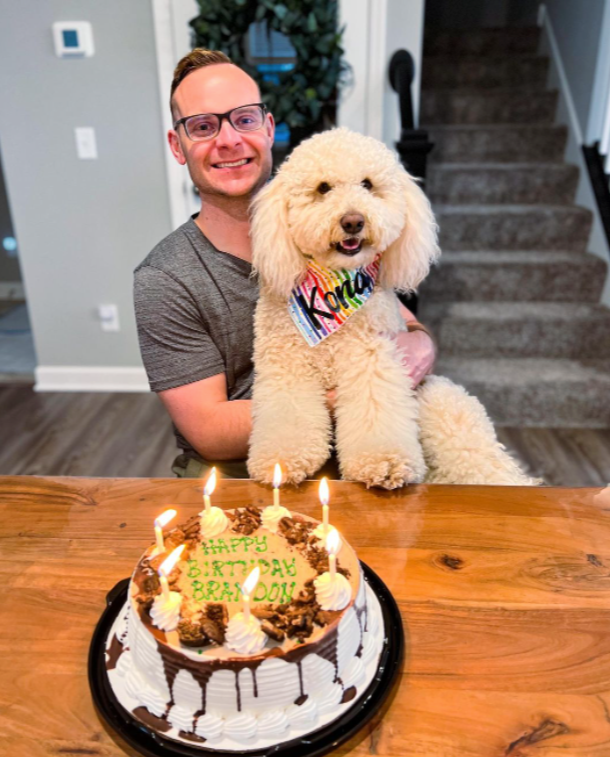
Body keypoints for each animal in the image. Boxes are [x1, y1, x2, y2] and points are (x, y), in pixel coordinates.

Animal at [247, 127, 536, 489]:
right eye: (323, 188)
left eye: (368, 184)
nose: (353, 221)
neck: (333, 292)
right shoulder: (286, 365)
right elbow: (287, 418)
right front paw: (282, 459)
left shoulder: (371, 357)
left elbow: (376, 410)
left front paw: (382, 462)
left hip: (441, 403)